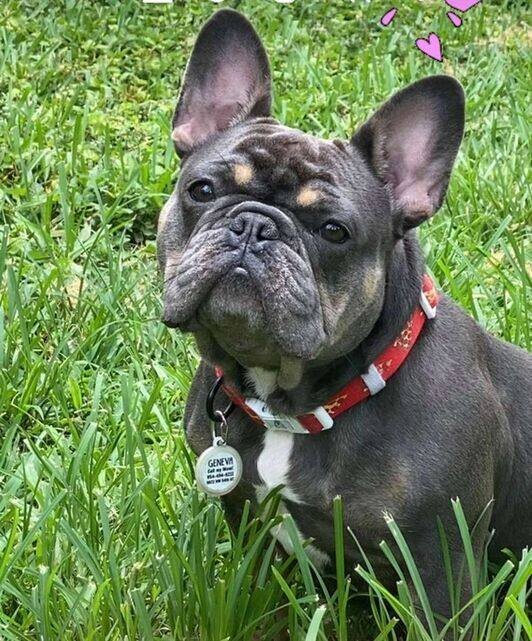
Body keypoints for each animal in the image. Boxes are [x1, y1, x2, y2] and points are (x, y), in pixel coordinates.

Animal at [158, 8, 532, 624]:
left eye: (334, 231)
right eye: (202, 189)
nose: (254, 226)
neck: (293, 406)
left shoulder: (441, 566)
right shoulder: (248, 524)